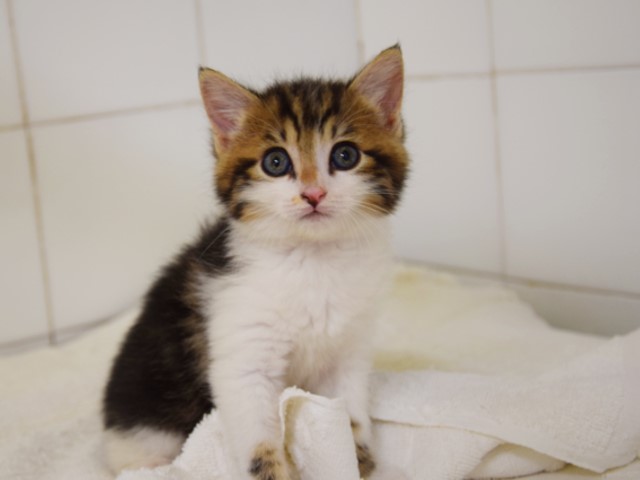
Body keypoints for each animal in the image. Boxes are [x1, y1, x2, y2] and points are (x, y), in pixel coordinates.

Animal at [102, 45, 408, 480]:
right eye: (275, 163)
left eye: (345, 155)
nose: (313, 194)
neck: (313, 259)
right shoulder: (241, 349)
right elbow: (259, 440)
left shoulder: (349, 349)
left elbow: (348, 415)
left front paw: (356, 459)